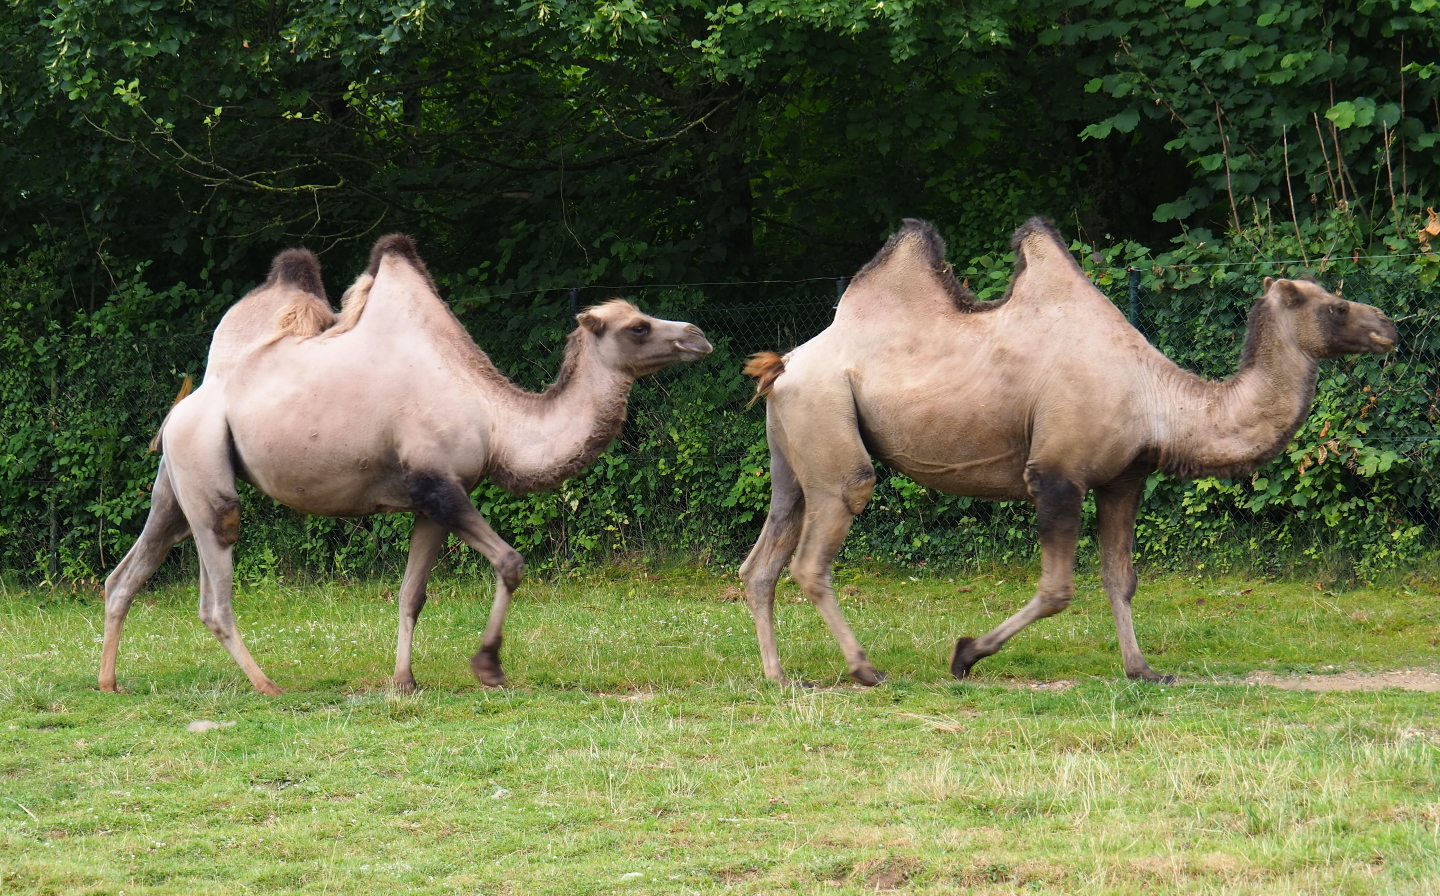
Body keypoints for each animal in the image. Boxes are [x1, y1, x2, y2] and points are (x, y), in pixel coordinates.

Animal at [99, 236, 711, 695]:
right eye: (637, 327)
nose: (698, 335)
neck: (494, 416)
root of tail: (194, 397)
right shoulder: (438, 484)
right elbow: (511, 562)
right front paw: (488, 666)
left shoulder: (434, 499)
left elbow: (411, 593)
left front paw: (404, 681)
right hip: (205, 470)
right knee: (215, 589)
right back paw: (267, 685)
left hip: (178, 479)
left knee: (129, 569)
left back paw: (110, 682)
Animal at [739, 217, 1397, 686]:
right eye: (1335, 305)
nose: (1387, 325)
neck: (1156, 399)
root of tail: (784, 365)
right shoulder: (1057, 472)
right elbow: (1058, 589)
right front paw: (965, 655)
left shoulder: (1124, 477)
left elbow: (1121, 578)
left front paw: (1143, 670)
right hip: (829, 425)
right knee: (818, 545)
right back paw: (865, 669)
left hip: (792, 451)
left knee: (763, 557)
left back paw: (779, 677)